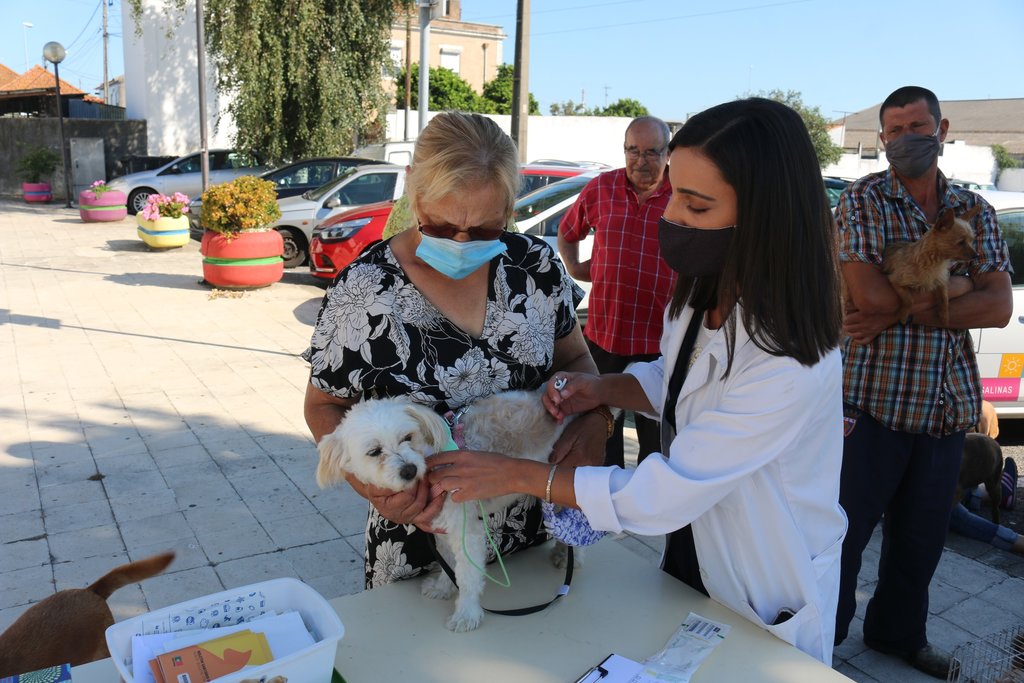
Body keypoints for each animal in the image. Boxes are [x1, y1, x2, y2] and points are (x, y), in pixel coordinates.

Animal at [315, 389, 569, 630]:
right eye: (374, 452)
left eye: (407, 437)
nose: (409, 469)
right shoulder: (444, 529)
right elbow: (449, 564)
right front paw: (443, 588)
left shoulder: (467, 532)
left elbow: (467, 576)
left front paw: (467, 614)